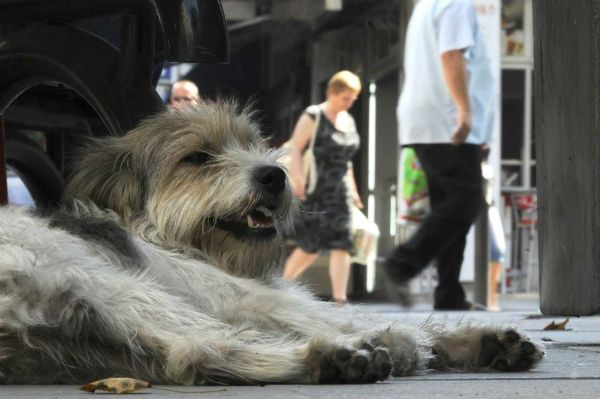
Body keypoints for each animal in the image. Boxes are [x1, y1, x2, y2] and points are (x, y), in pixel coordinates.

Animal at [0, 101, 544, 386]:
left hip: (92, 339)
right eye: (198, 157)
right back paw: (349, 353)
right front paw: (426, 339)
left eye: (252, 143)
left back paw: (333, 360)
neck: (167, 236)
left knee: (192, 355)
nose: (275, 175)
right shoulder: (245, 297)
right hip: (111, 285)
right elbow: (352, 315)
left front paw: (478, 343)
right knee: (206, 342)